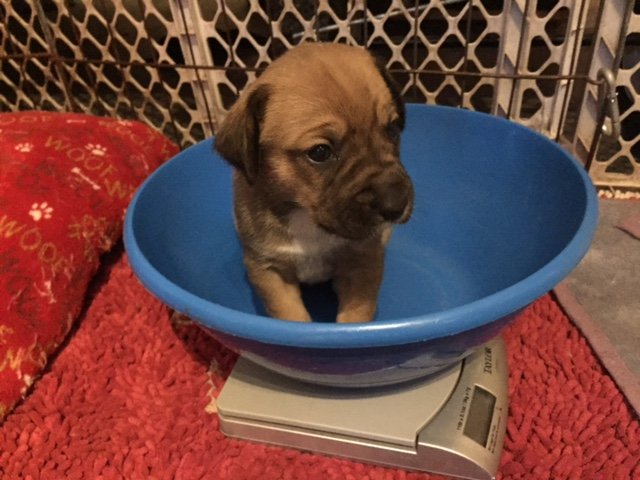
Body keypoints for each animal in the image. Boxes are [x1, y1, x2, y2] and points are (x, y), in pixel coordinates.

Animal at [215, 43, 414, 323]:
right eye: (320, 152)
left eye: (393, 130)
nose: (396, 204)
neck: (305, 215)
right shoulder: (270, 271)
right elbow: (291, 318)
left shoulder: (363, 262)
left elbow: (355, 317)